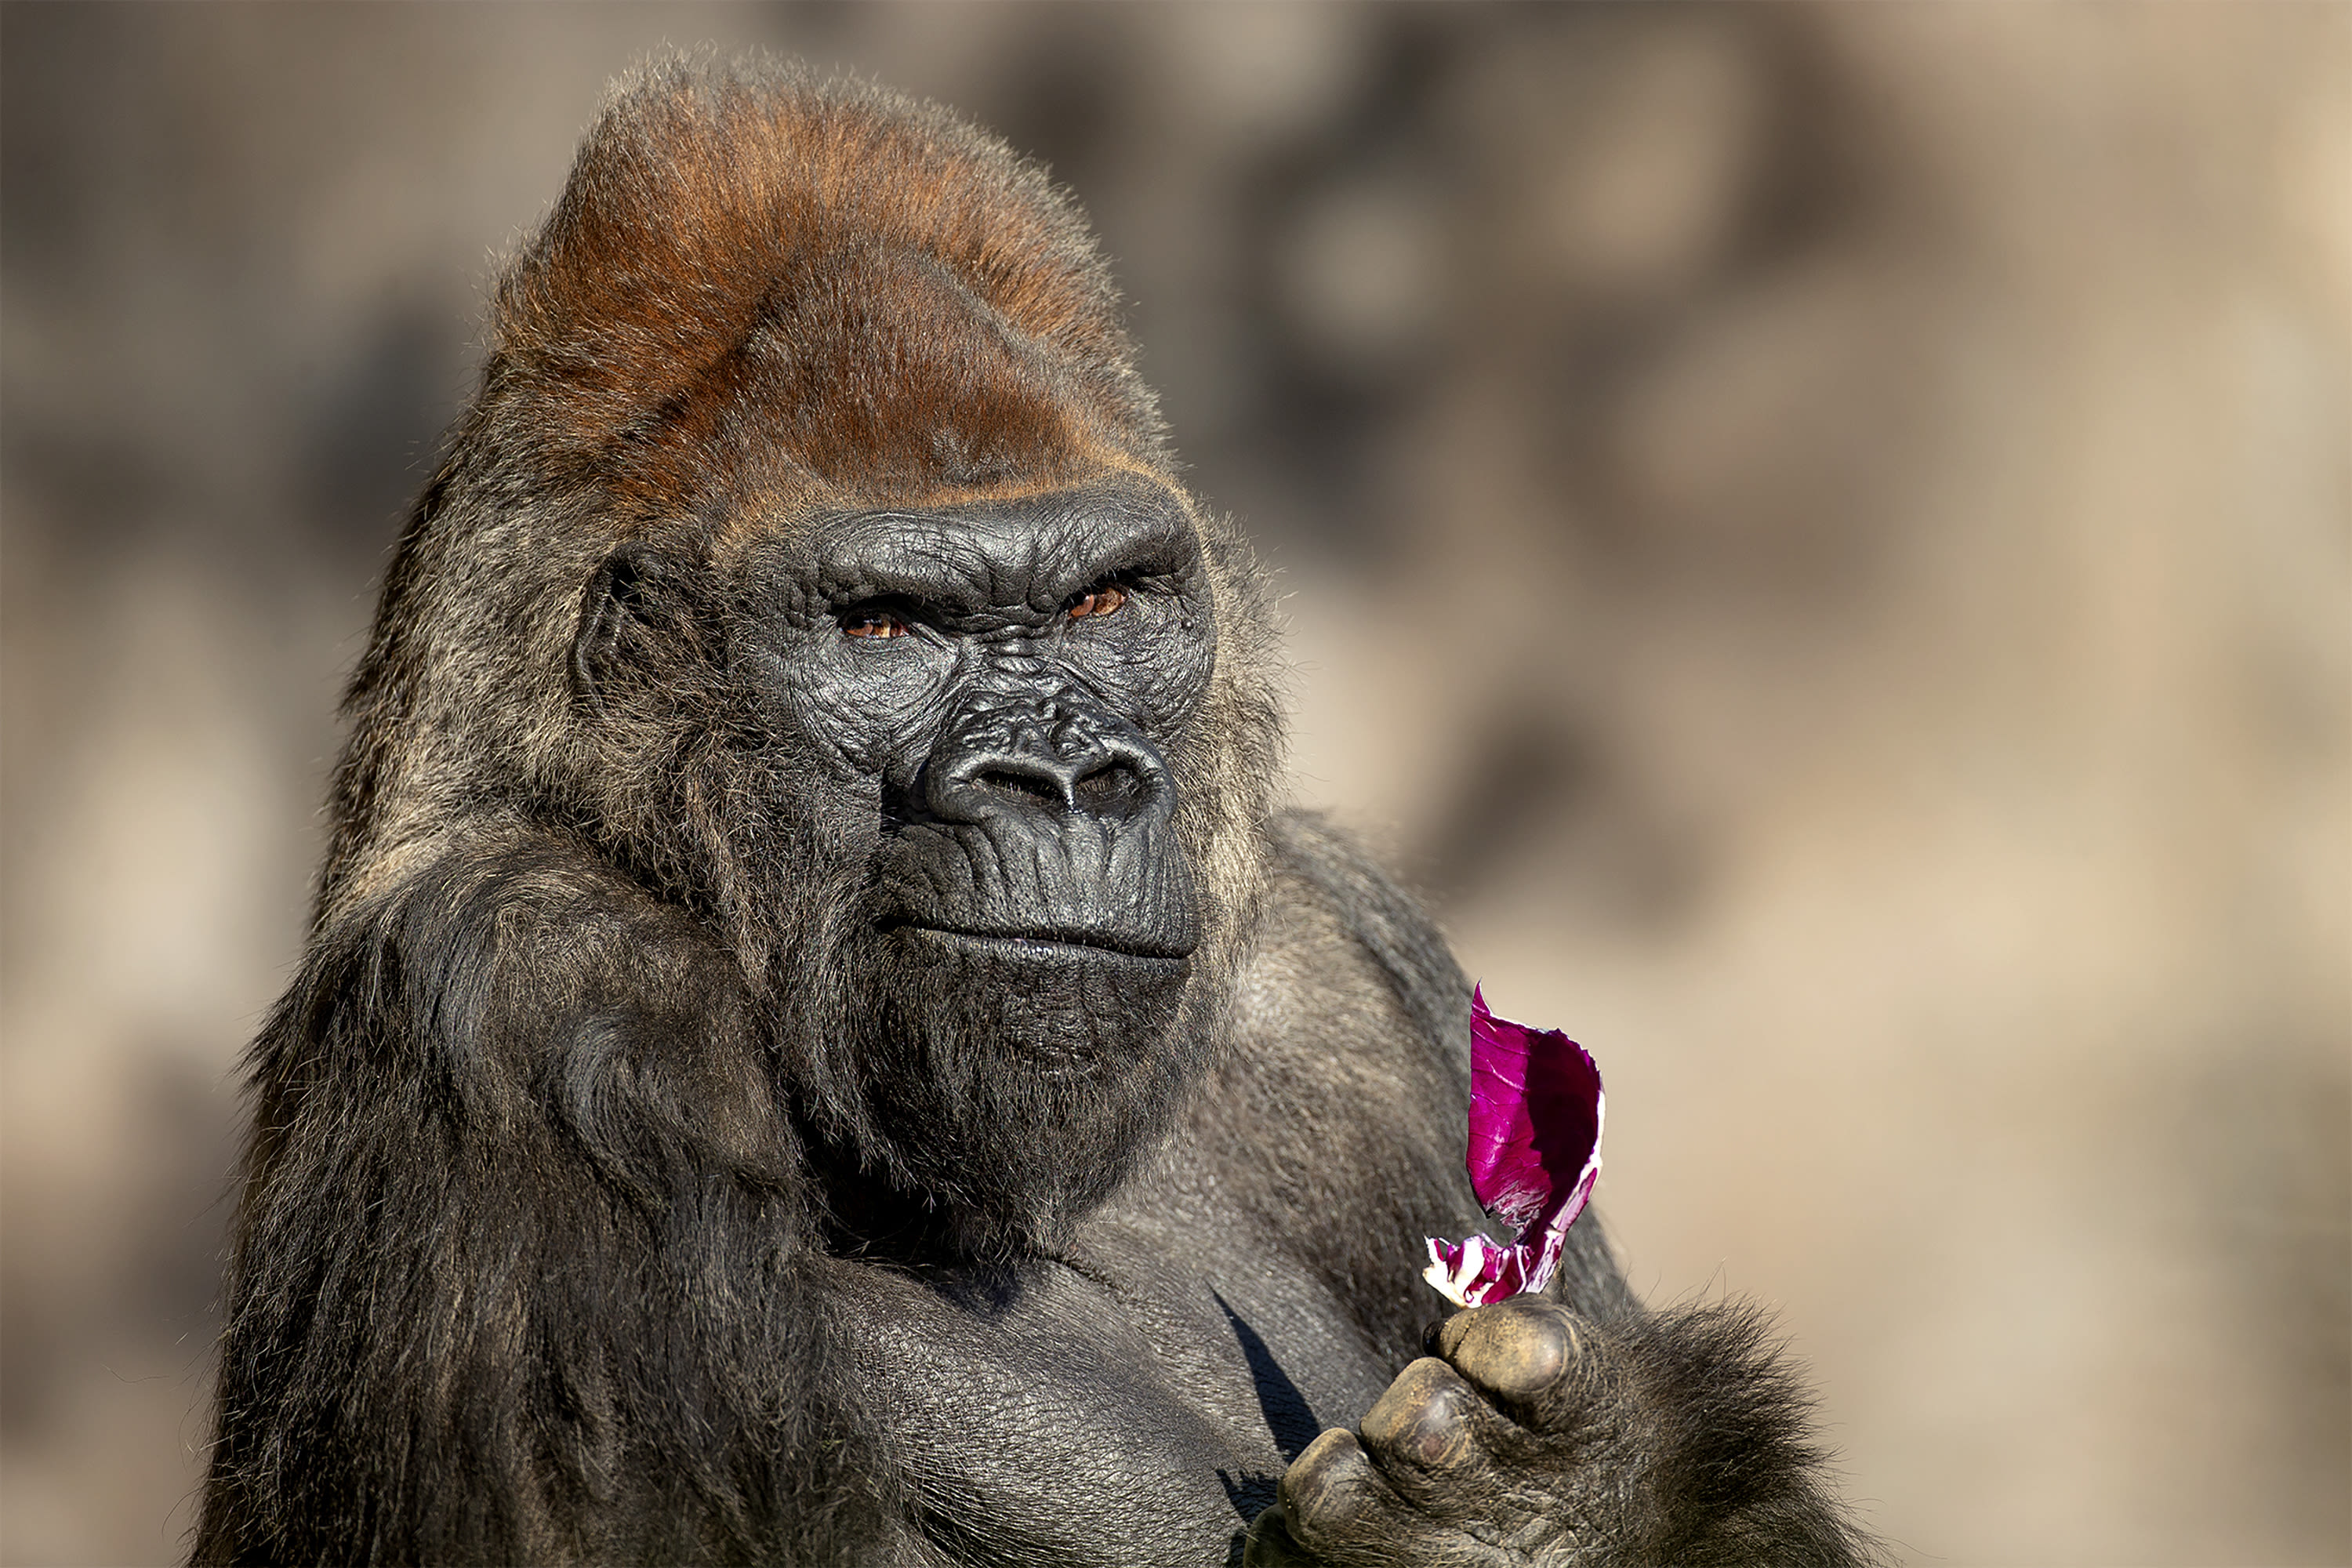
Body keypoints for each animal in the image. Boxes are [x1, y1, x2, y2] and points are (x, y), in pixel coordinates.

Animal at [193, 55, 1872, 1561]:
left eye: (1101, 602)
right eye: (887, 627)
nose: (1066, 779)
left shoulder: (1352, 972)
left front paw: (1569, 1508)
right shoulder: (525, 985)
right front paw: (1512, 1527)